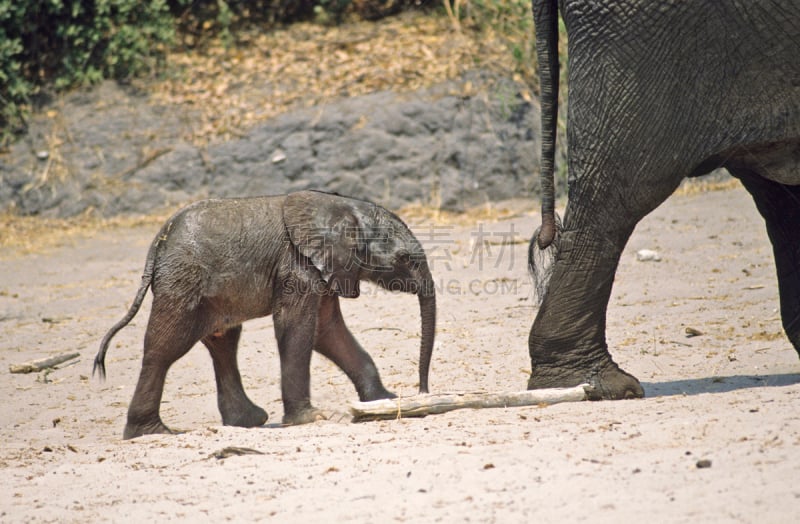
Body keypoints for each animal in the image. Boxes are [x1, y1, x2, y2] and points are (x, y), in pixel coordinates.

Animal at [97, 190, 440, 440]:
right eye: (404, 258)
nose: (422, 391)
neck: (342, 207)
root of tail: (158, 244)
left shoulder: (324, 267)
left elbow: (327, 330)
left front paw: (385, 400)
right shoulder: (297, 265)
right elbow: (297, 327)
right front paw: (310, 418)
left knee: (223, 344)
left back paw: (248, 421)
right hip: (182, 282)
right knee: (164, 349)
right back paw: (150, 433)